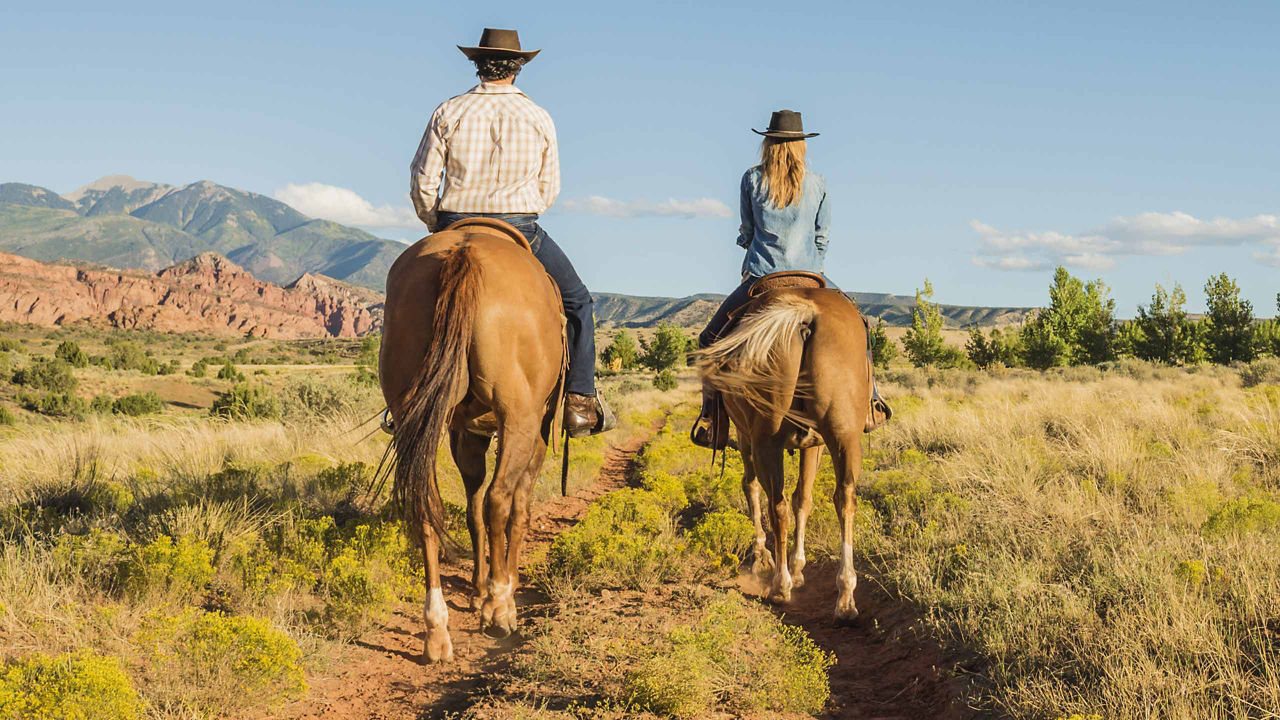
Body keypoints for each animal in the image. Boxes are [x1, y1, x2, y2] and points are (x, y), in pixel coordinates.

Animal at [373, 215, 565, 661]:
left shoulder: (465, 435)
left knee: (428, 505)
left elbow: (472, 511)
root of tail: (465, 254)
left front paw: (478, 590)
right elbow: (516, 510)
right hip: (519, 418)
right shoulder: (535, 434)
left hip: (415, 416)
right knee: (500, 500)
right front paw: (501, 588)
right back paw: (499, 610)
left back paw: (437, 630)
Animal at [701, 285, 870, 622]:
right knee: (845, 498)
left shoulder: (746, 436)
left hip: (764, 440)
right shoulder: (815, 444)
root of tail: (805, 313)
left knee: (775, 504)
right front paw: (798, 566)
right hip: (844, 436)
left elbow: (751, 487)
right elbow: (803, 499)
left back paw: (781, 585)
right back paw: (845, 596)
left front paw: (762, 556)